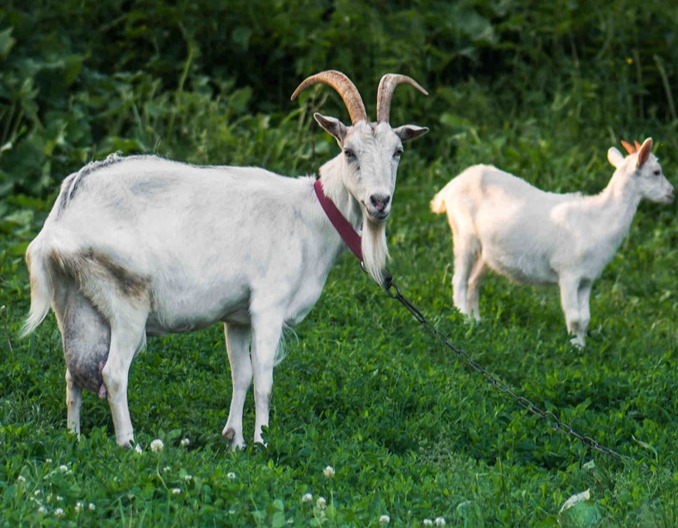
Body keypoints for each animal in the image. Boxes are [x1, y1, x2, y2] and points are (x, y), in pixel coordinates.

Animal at [22, 70, 430, 450]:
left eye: (398, 151)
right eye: (349, 152)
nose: (379, 201)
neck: (310, 215)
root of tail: (61, 215)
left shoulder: (237, 317)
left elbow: (241, 374)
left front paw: (234, 439)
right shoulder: (268, 305)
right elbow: (263, 377)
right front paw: (262, 442)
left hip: (75, 301)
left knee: (74, 369)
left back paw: (74, 437)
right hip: (125, 298)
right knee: (113, 373)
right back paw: (130, 445)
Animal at [432, 138, 676, 348]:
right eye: (656, 171)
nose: (672, 193)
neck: (597, 220)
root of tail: (448, 189)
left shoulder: (587, 278)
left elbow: (585, 318)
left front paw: (582, 346)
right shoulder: (568, 273)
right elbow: (575, 317)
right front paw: (574, 348)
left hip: (485, 251)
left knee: (473, 282)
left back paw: (477, 321)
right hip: (463, 234)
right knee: (459, 280)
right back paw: (463, 319)